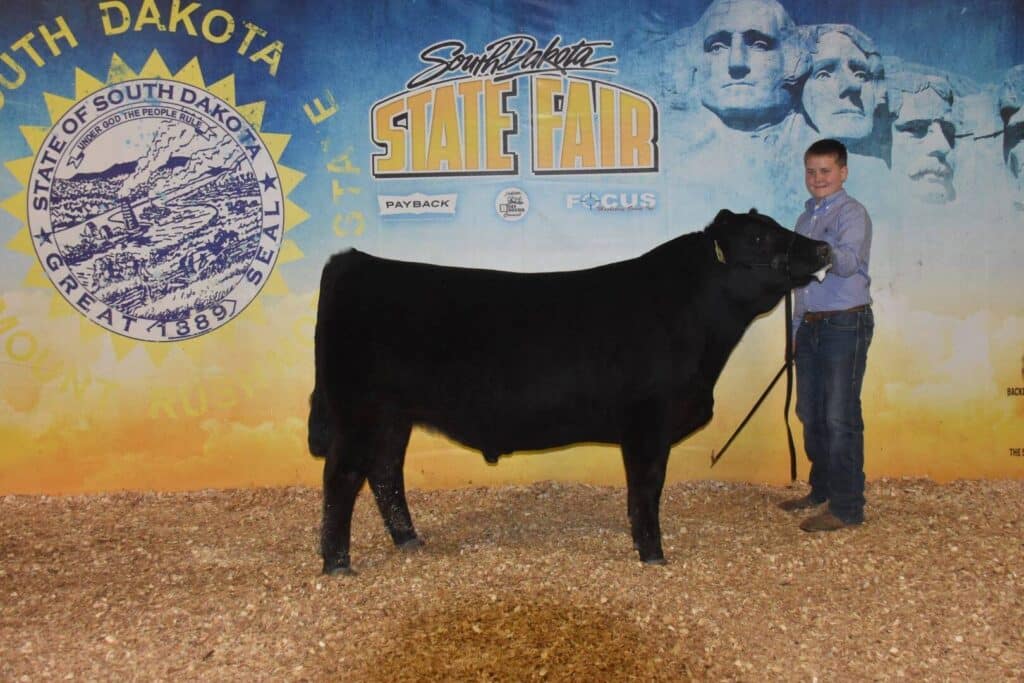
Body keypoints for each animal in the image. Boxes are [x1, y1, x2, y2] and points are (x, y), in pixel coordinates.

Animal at [308, 209, 831, 575]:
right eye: (758, 237)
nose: (825, 247)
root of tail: (354, 261)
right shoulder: (648, 420)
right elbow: (646, 488)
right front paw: (653, 553)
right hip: (358, 411)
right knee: (342, 477)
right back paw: (337, 564)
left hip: (393, 416)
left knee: (384, 473)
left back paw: (409, 541)